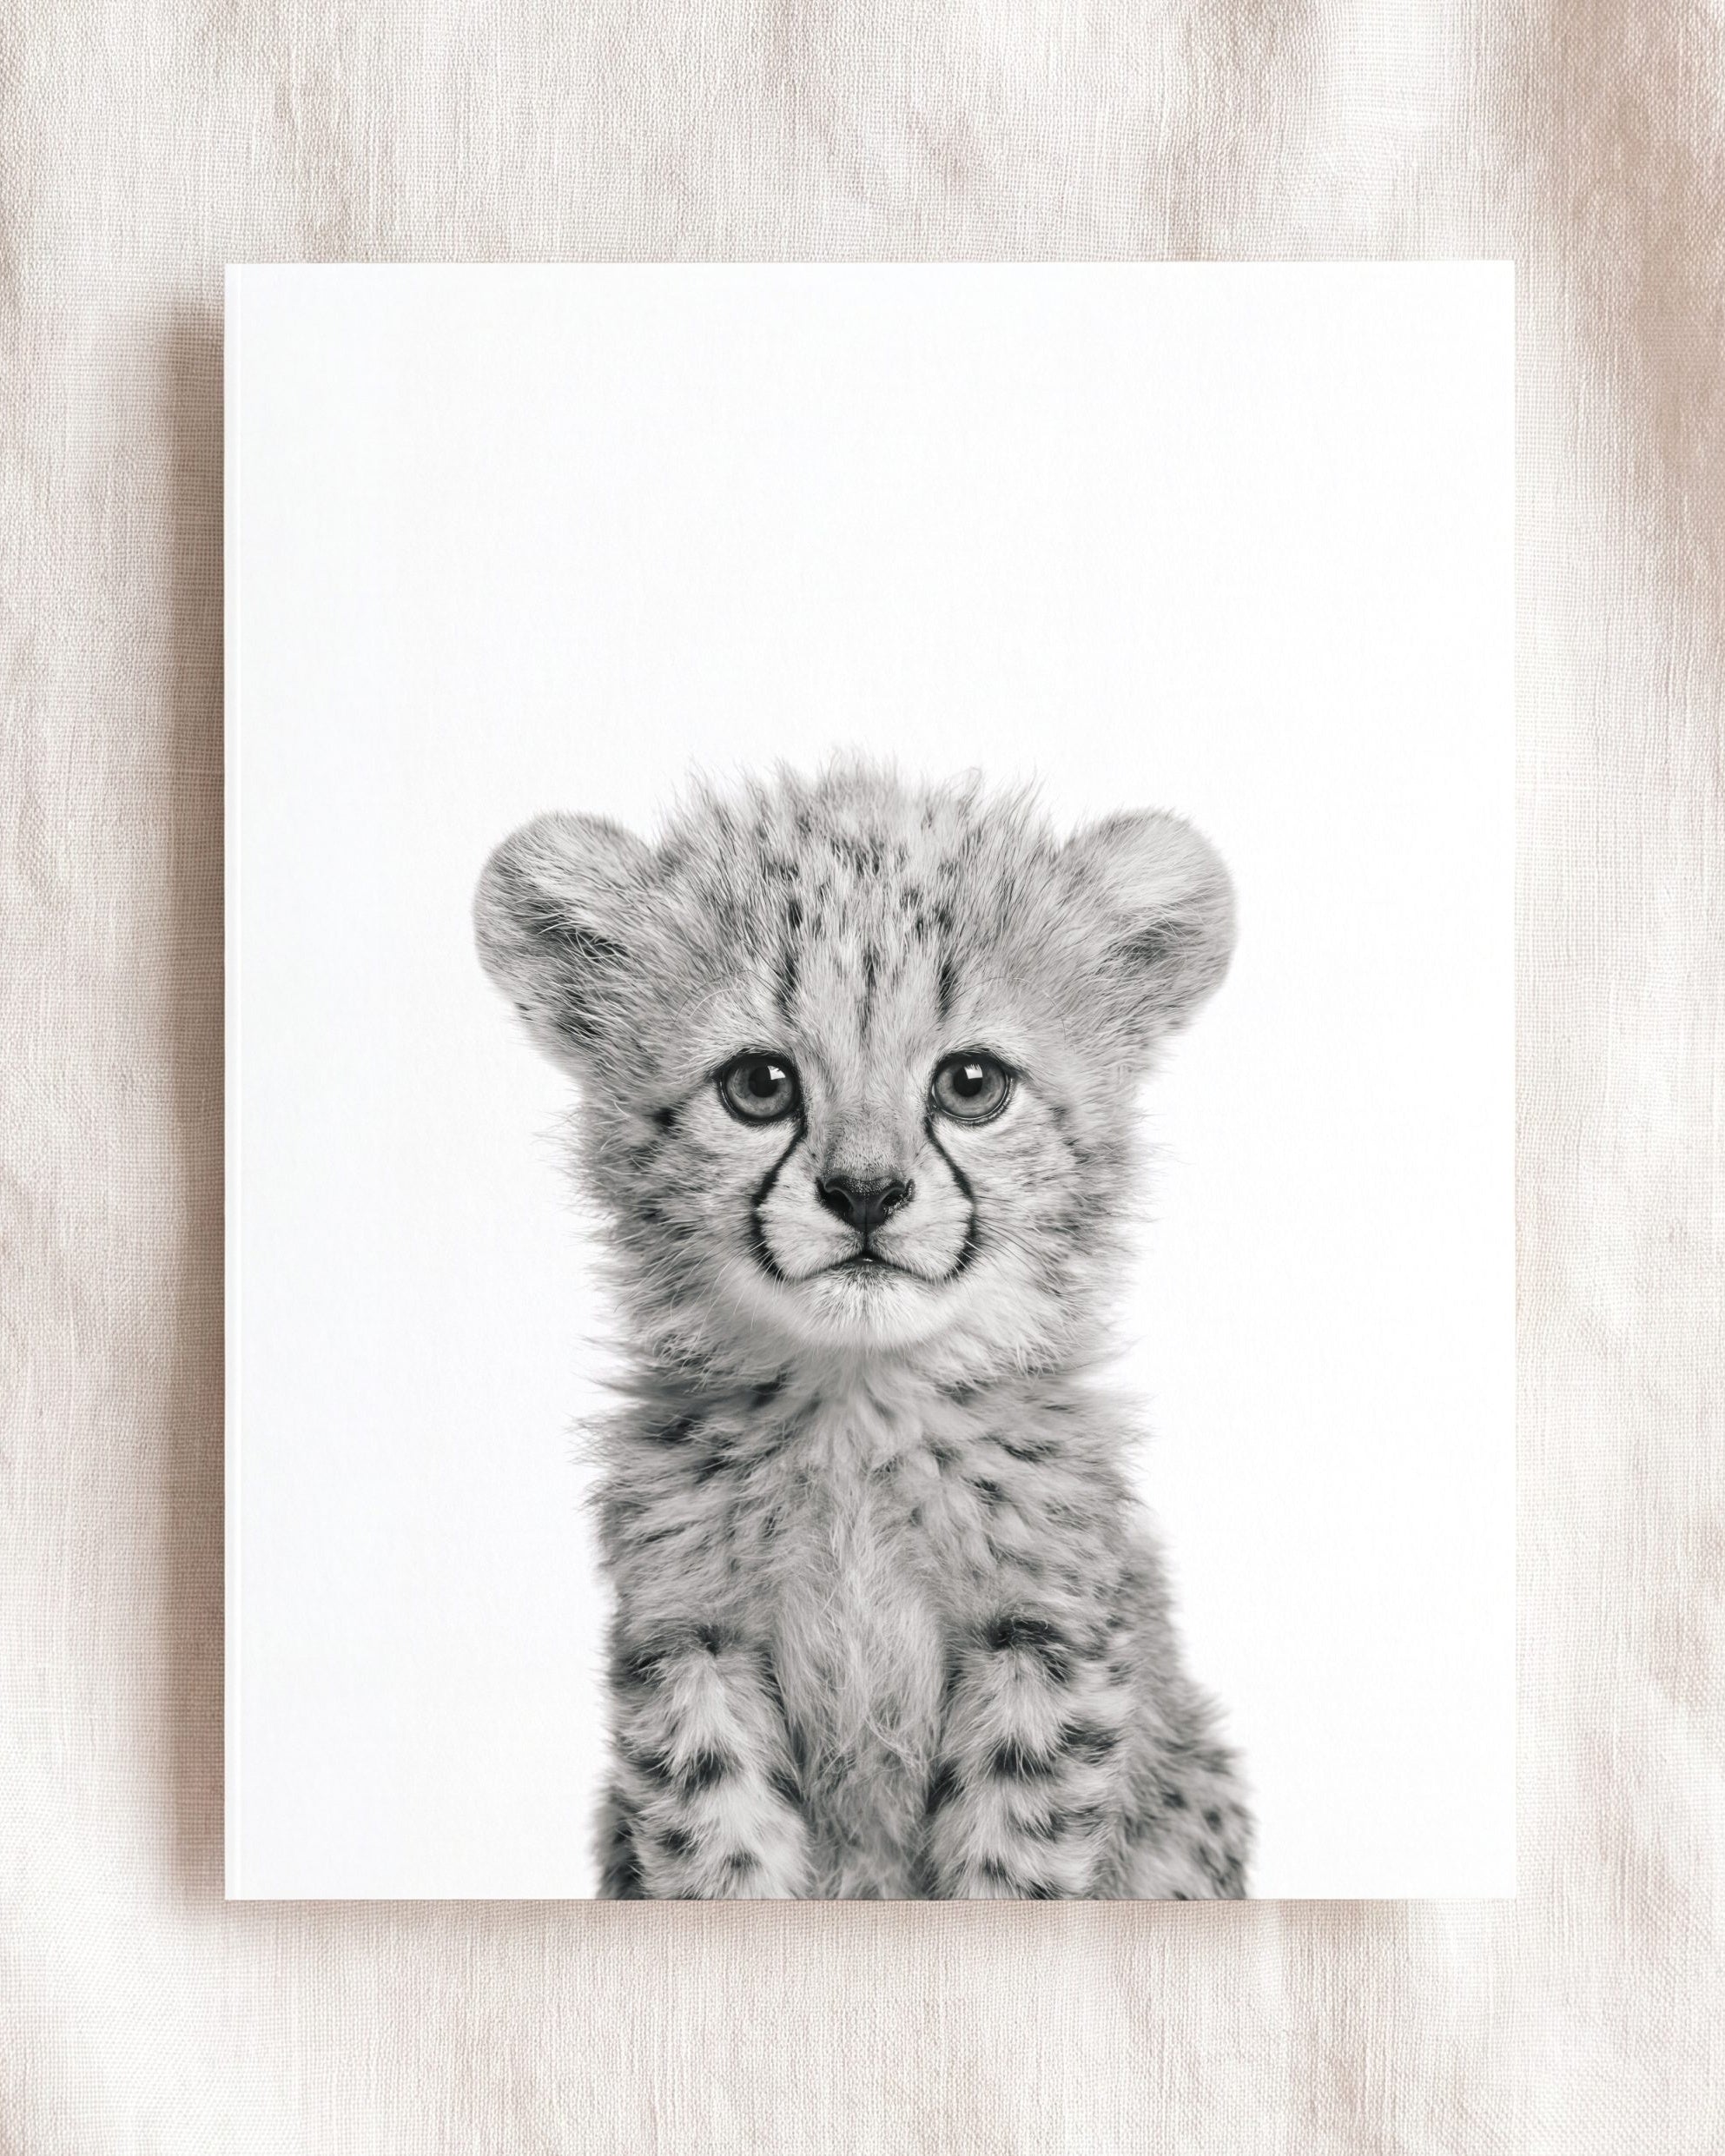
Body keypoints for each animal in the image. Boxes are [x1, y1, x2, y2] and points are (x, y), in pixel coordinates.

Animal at [475, 759, 1252, 1898]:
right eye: (759, 1084)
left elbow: (1013, 1868)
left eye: (972, 1084)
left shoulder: (1045, 1640)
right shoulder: (692, 1640)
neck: (856, 1405)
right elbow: (720, 1850)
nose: (866, 1193)